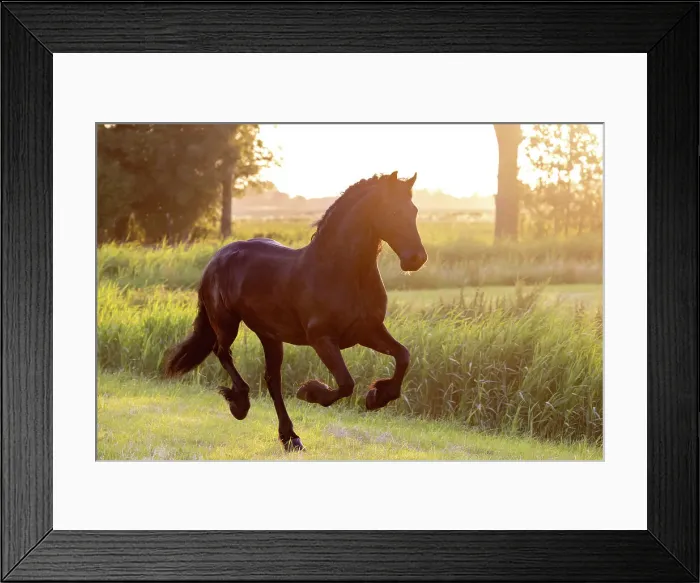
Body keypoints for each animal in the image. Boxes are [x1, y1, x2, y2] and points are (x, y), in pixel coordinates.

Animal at [163, 171, 428, 452]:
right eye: (392, 212)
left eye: (414, 210)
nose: (416, 259)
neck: (342, 272)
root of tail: (217, 258)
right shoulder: (322, 339)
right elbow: (346, 383)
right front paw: (310, 392)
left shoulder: (368, 331)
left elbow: (403, 356)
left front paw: (378, 396)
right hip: (226, 323)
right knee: (222, 352)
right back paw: (240, 404)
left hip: (269, 336)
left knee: (272, 379)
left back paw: (290, 437)